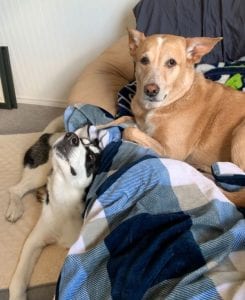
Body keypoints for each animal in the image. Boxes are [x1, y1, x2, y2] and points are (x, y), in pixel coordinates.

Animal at [6, 124, 100, 300]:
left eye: (91, 157)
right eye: (81, 140)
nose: (71, 136)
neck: (65, 196)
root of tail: (49, 134)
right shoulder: (34, 241)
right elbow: (19, 278)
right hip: (41, 172)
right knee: (15, 189)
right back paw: (15, 207)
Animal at [98, 29, 245, 206]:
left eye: (171, 63)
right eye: (144, 60)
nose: (150, 90)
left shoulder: (171, 152)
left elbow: (129, 131)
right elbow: (123, 120)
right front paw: (98, 126)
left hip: (240, 133)